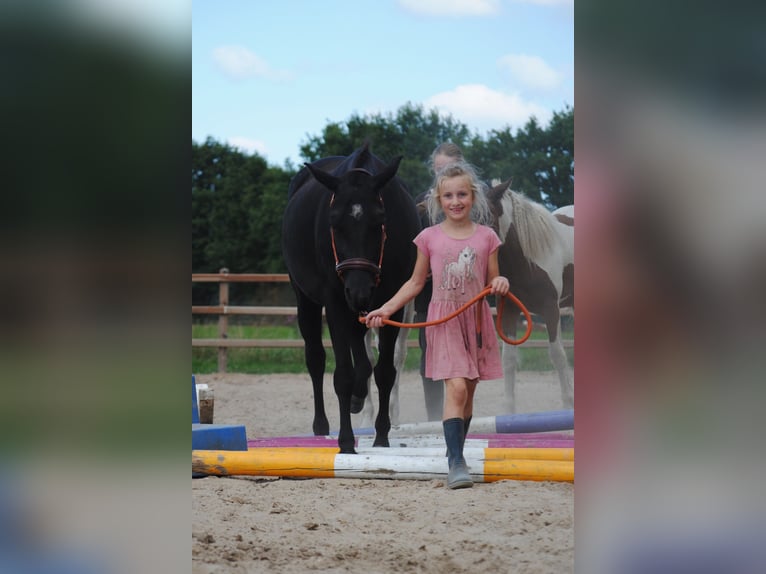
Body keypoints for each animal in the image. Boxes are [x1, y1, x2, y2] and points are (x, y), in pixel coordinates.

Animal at [282, 144, 421, 453]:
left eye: (380, 220)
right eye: (334, 222)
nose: (359, 289)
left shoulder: (392, 302)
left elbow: (384, 371)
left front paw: (382, 435)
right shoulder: (334, 301)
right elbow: (343, 374)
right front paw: (346, 442)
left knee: (363, 356)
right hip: (305, 299)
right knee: (316, 358)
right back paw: (321, 425)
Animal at [487, 180, 574, 413]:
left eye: (485, 215)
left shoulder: (550, 310)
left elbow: (557, 355)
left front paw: (567, 405)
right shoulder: (509, 310)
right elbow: (508, 359)